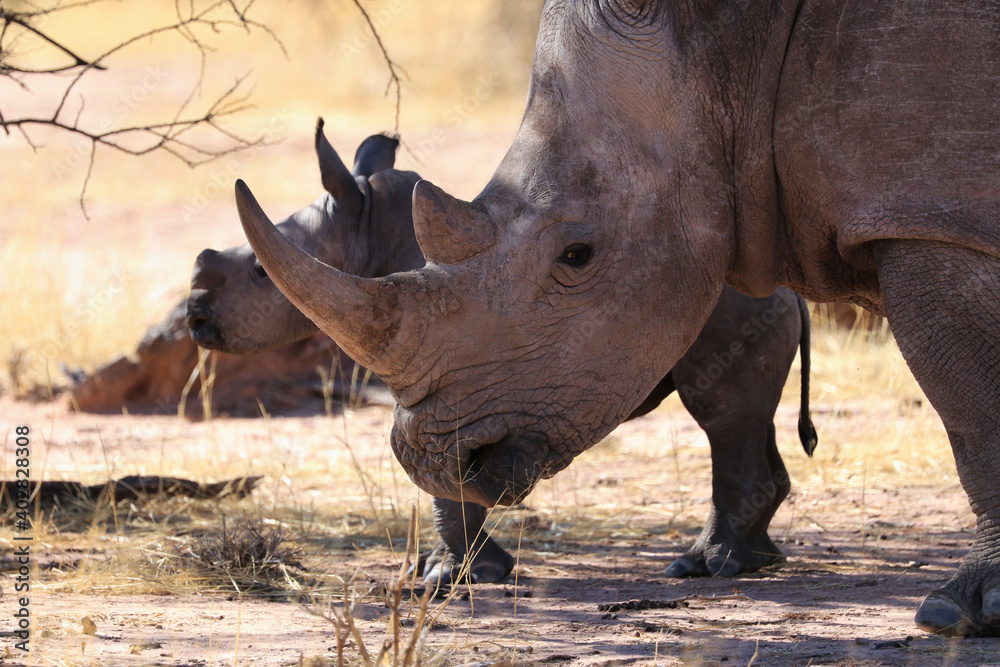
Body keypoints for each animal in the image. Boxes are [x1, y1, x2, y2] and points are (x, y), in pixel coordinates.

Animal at [199, 123, 817, 584]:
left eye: (259, 274)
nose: (196, 316)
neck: (367, 229)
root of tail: (791, 292)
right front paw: (446, 569)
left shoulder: (452, 365)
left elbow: (443, 474)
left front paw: (455, 577)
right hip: (753, 308)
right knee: (748, 415)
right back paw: (756, 559)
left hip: (732, 311)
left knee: (719, 412)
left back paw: (708, 567)